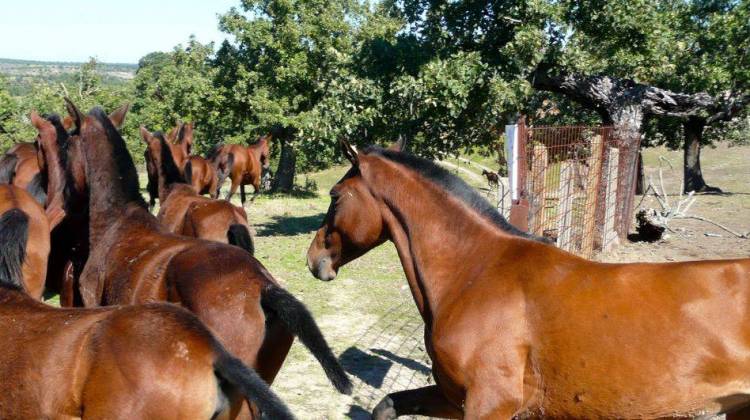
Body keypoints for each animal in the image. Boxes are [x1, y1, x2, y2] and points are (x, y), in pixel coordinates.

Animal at [306, 142, 750, 420]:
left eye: (334, 195)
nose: (314, 261)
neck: (475, 274)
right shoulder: (453, 398)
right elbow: (386, 405)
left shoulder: (490, 404)